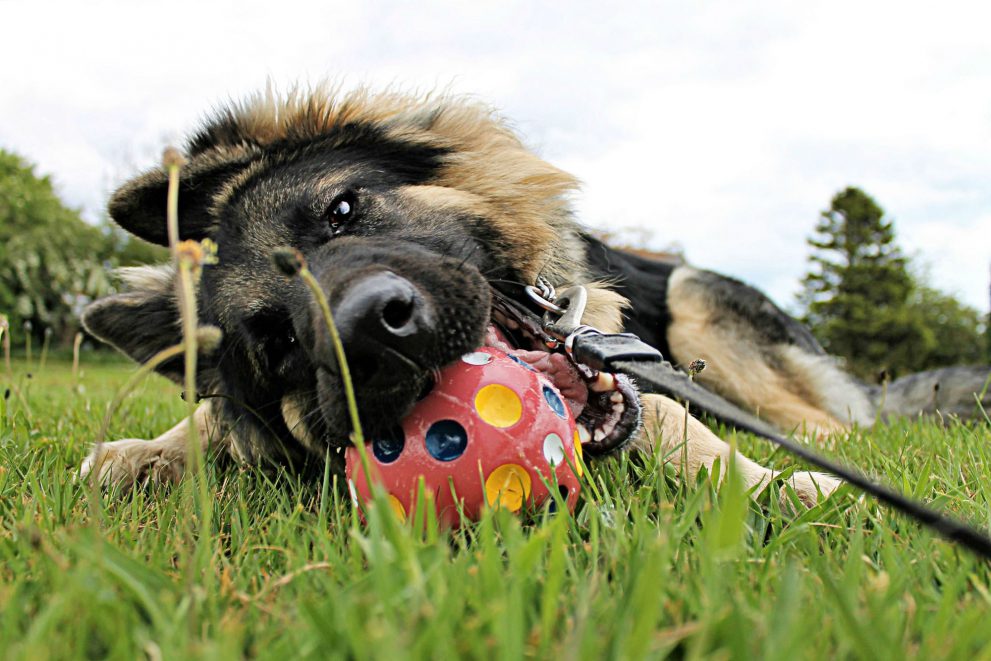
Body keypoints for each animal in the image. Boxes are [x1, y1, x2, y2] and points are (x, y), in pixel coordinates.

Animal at [79, 86, 991, 506]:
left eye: (341, 209)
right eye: (276, 340)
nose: (376, 332)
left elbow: (685, 430)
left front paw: (781, 486)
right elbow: (204, 417)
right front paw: (148, 449)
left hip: (697, 301)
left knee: (828, 423)